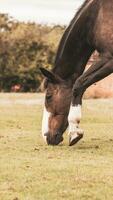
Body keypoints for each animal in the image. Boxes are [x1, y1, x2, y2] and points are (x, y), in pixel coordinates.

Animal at [40, 0, 113, 146]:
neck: (97, 16)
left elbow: (79, 84)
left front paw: (74, 132)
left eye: (48, 96)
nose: (46, 136)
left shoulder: (109, 58)